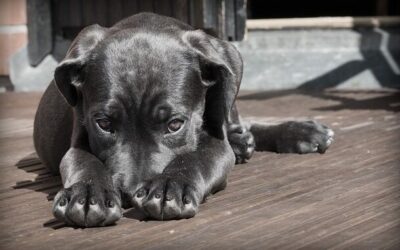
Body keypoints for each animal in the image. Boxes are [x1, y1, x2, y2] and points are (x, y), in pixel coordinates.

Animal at [33, 12, 334, 228]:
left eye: (175, 124)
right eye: (104, 124)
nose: (130, 194)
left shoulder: (215, 142)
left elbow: (196, 158)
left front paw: (170, 186)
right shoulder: (78, 139)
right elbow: (84, 161)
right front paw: (86, 194)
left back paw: (298, 132)